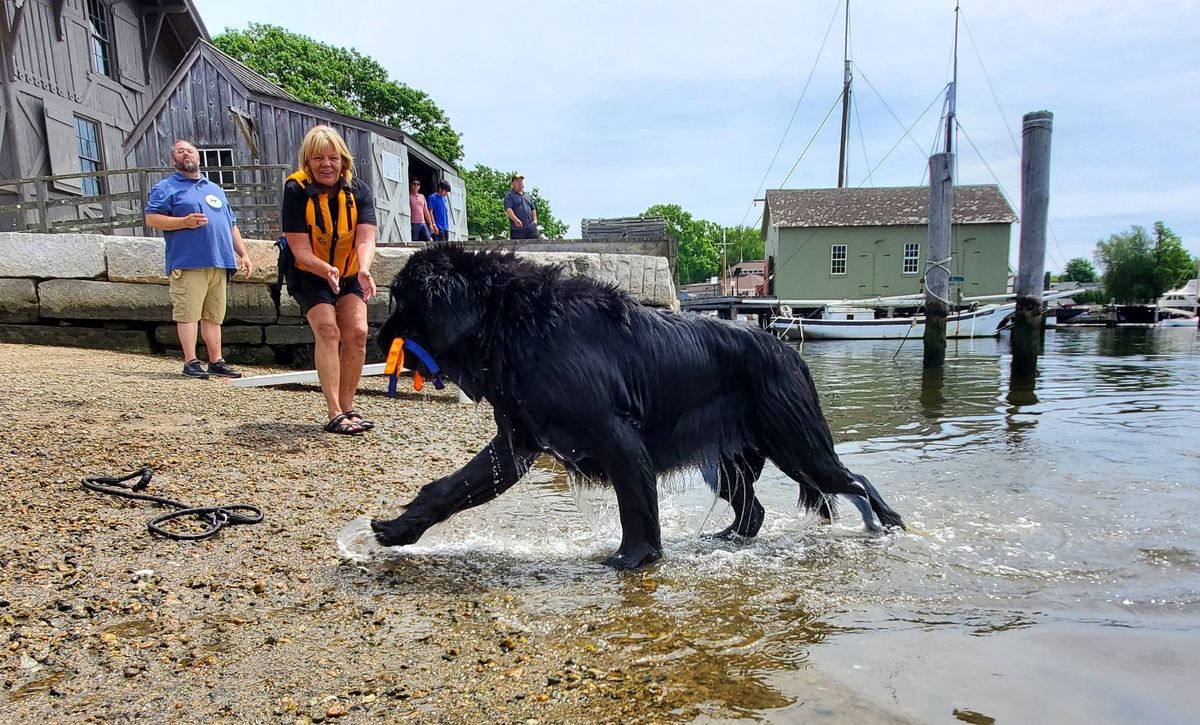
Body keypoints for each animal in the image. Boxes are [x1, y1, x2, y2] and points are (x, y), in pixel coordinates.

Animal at [372, 246, 902, 568]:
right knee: (754, 511)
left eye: (402, 302)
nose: (376, 338)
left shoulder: (616, 434)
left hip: (795, 444)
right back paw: (724, 540)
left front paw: (633, 558)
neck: (520, 325)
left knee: (855, 481)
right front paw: (396, 528)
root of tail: (788, 349)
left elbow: (637, 505)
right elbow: (448, 489)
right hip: (725, 462)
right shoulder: (517, 443)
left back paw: (886, 527)